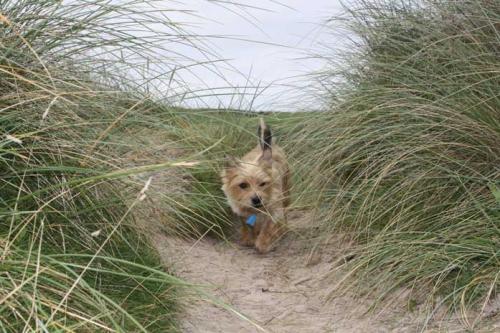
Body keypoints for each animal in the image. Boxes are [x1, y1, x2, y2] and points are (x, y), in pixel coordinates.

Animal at [222, 118, 292, 252]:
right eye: (243, 185)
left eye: (263, 184)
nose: (256, 199)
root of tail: (265, 146)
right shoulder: (241, 208)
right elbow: (247, 224)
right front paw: (248, 238)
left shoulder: (275, 208)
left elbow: (269, 226)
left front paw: (263, 243)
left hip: (286, 190)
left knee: (285, 211)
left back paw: (284, 228)